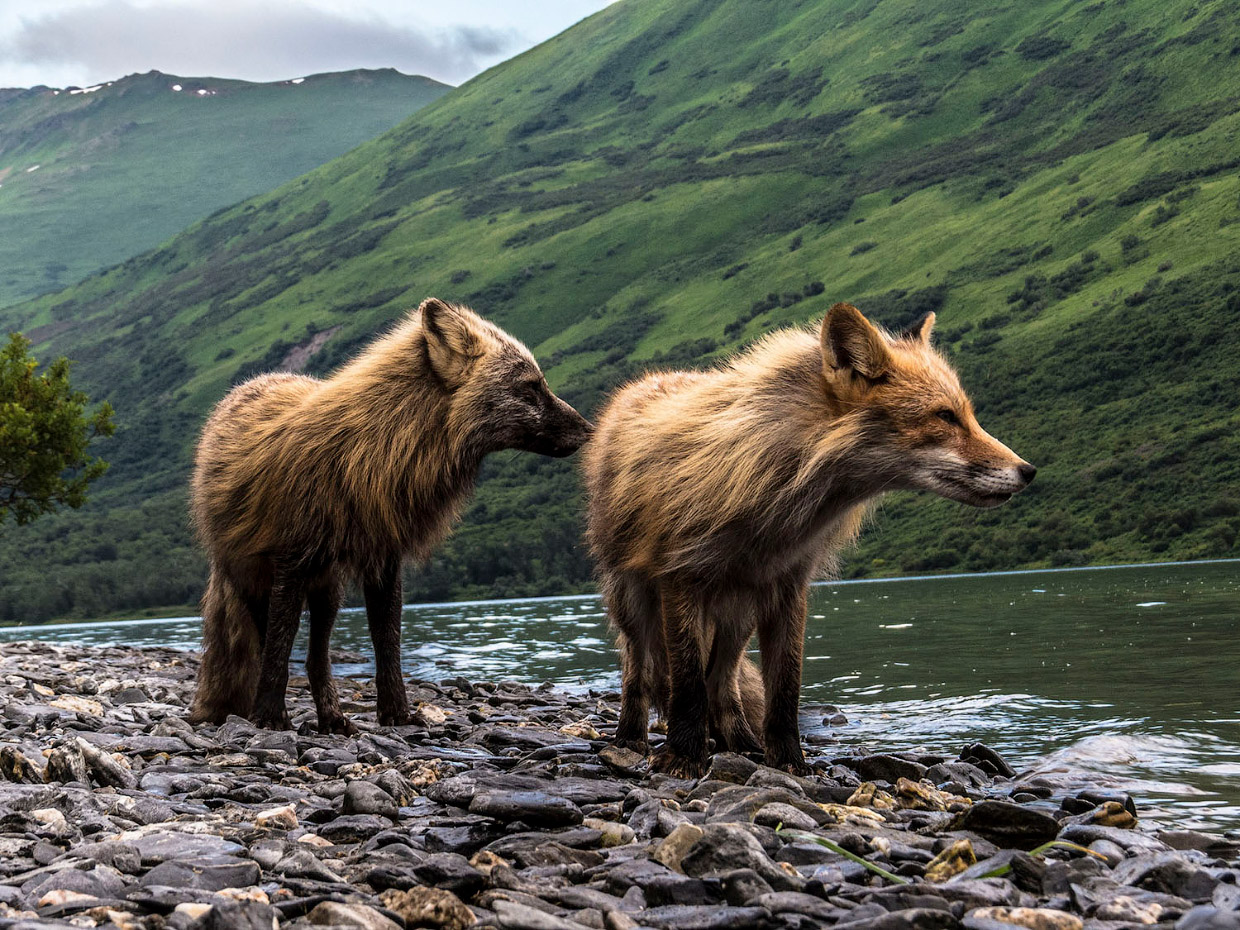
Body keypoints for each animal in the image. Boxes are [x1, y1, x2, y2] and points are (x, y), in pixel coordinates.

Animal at [188, 298, 590, 734]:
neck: (374, 453)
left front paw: (397, 713)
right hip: (259, 581)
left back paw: (332, 717)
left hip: (327, 588)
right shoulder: (291, 561)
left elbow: (387, 641)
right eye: (531, 386)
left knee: (317, 658)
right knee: (273, 645)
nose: (589, 430)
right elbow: (278, 647)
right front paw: (269, 717)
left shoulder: (383, 558)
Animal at [585, 302, 1031, 773]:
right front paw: (684, 756)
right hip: (634, 601)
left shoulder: (787, 585)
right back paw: (630, 739)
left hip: (737, 612)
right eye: (945, 416)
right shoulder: (681, 577)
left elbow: (785, 688)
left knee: (723, 681)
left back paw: (740, 742)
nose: (1028, 471)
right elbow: (686, 686)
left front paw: (789, 763)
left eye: (967, 415)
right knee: (640, 672)